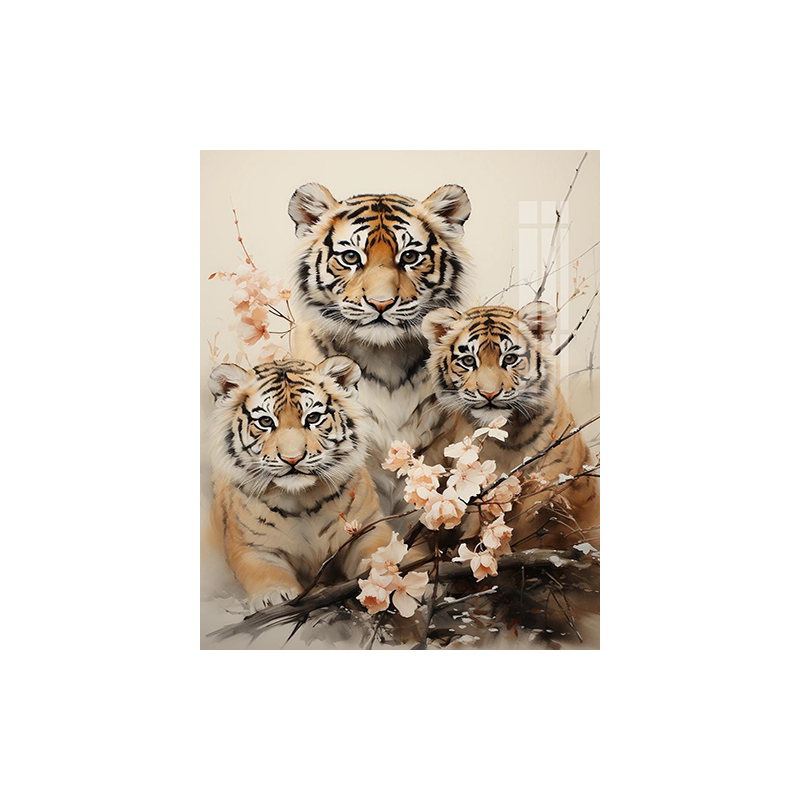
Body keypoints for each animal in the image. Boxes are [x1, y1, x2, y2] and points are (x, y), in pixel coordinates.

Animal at [207, 356, 393, 608]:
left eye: (312, 418)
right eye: (265, 421)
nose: (292, 458)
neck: (303, 499)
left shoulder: (369, 524)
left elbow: (378, 549)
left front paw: (381, 574)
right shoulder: (250, 546)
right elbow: (266, 571)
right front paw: (274, 595)